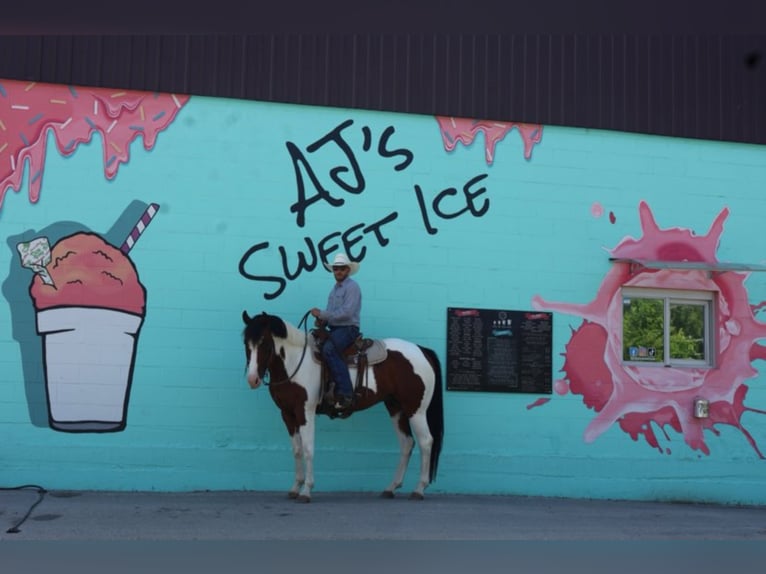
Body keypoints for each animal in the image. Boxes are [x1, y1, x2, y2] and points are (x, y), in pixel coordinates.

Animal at [240, 310, 444, 504]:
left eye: (265, 343)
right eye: (246, 343)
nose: (252, 379)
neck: (295, 361)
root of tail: (422, 350)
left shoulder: (305, 411)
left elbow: (308, 448)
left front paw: (306, 491)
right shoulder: (287, 414)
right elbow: (297, 450)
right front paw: (295, 488)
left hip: (416, 409)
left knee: (426, 441)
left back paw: (419, 489)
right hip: (396, 408)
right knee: (406, 443)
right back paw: (391, 488)